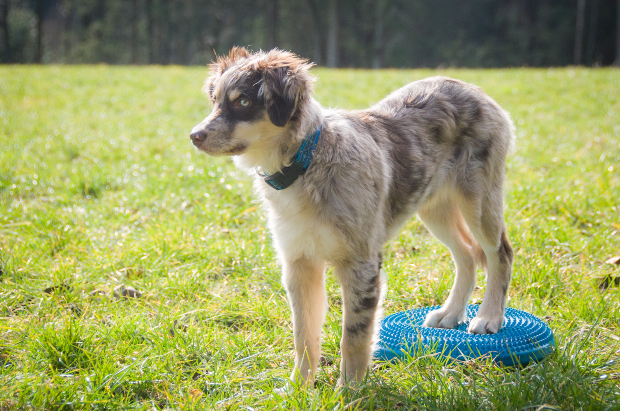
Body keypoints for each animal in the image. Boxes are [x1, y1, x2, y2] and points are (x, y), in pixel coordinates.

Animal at [191, 47, 516, 386]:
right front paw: (299, 387)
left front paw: (349, 389)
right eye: (215, 100)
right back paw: (450, 313)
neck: (306, 163)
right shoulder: (299, 262)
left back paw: (489, 317)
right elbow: (303, 334)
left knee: (500, 252)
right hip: (434, 208)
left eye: (243, 102)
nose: (194, 136)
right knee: (466, 254)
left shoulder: (361, 263)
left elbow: (354, 335)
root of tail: (474, 90)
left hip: (479, 202)